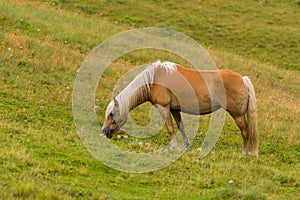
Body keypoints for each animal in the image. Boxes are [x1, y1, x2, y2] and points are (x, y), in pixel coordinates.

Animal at [101, 61, 258, 156]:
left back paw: (244, 152)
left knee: (245, 132)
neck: (153, 80)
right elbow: (180, 126)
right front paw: (186, 147)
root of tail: (242, 79)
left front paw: (172, 147)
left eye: (111, 114)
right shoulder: (174, 109)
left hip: (238, 115)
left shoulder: (163, 107)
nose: (103, 133)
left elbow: (170, 128)